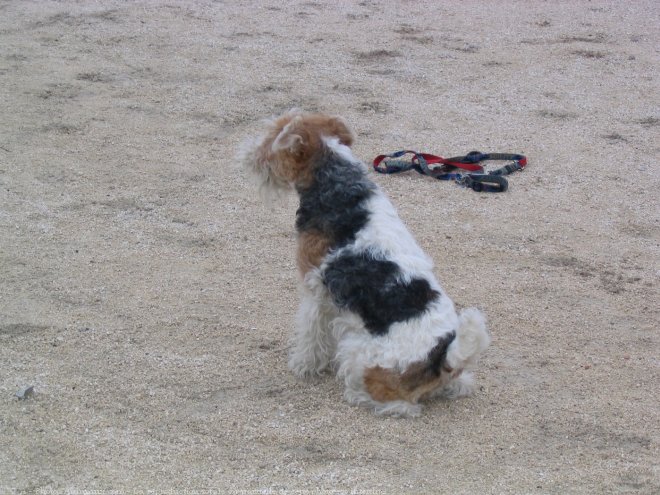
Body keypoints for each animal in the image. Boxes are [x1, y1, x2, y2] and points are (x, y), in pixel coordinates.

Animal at [238, 110, 490, 416]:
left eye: (272, 136)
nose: (247, 154)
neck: (339, 185)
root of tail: (440, 359)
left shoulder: (314, 290)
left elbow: (310, 334)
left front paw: (303, 365)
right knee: (459, 383)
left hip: (359, 351)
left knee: (401, 405)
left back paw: (357, 395)